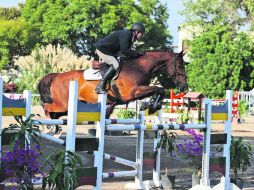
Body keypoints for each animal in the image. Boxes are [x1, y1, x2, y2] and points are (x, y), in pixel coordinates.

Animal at [38, 49, 189, 123]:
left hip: (68, 107)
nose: (184, 87)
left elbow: (158, 90)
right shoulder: (133, 92)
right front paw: (151, 106)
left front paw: (151, 106)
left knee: (54, 112)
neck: (138, 67)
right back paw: (49, 126)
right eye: (180, 65)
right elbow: (158, 89)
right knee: (46, 107)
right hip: (62, 104)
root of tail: (57, 76)